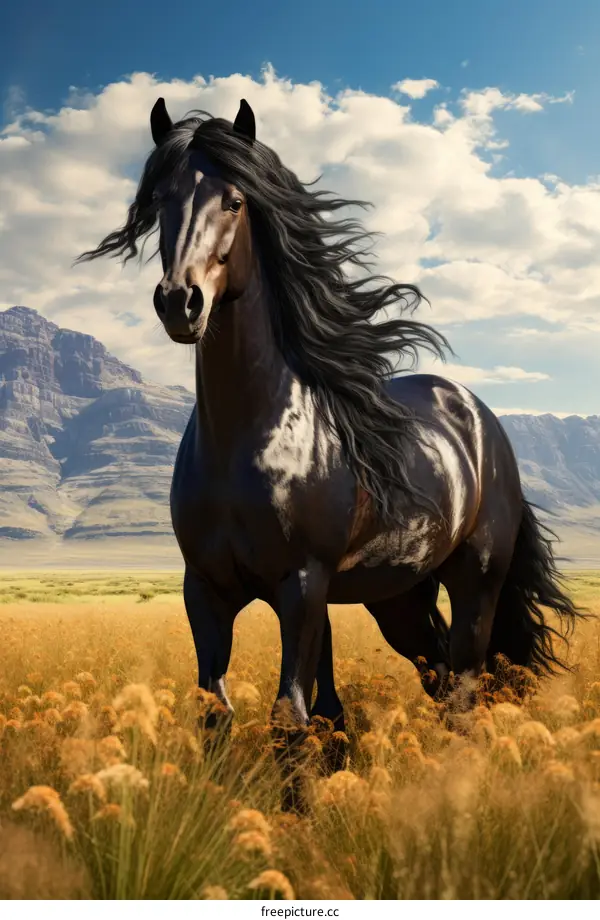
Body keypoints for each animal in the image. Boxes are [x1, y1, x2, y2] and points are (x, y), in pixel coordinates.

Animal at [77, 97, 581, 801]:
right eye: (161, 203)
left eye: (235, 201)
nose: (181, 302)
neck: (248, 438)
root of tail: (480, 419)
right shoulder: (204, 588)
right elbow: (220, 710)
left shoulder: (302, 586)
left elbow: (291, 717)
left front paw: (299, 813)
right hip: (398, 596)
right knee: (436, 675)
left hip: (476, 581)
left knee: (464, 685)